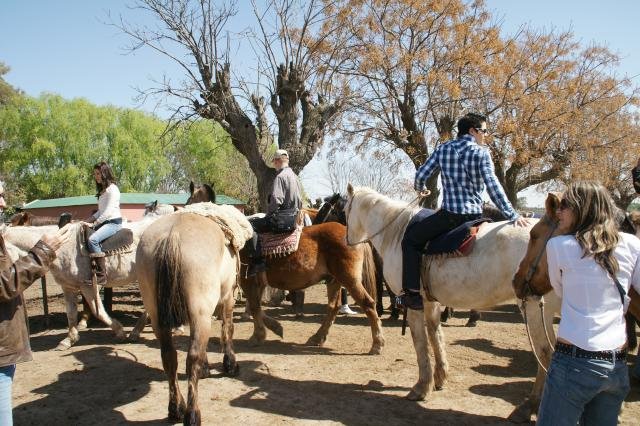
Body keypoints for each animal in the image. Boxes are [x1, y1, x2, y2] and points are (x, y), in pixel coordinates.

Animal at [2, 216, 161, 350]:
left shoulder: (88, 286)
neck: (63, 246)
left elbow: (98, 312)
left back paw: (135, 332)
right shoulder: (68, 287)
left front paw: (120, 332)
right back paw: (137, 331)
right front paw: (68, 340)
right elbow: (71, 314)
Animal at [135, 205, 250, 424]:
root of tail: (172, 235)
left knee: (169, 358)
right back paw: (192, 413)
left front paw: (207, 368)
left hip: (157, 317)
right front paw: (230, 365)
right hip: (201, 313)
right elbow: (227, 330)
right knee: (192, 358)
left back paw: (175, 408)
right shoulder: (227, 299)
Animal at [344, 185, 560, 408]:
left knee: (545, 352)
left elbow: (420, 342)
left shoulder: (413, 302)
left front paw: (421, 387)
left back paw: (535, 400)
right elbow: (435, 335)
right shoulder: (430, 303)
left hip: (535, 309)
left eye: (343, 209)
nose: (347, 241)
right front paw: (439, 378)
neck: (396, 233)